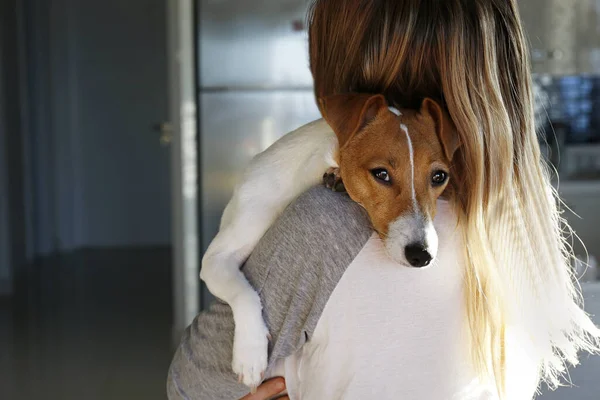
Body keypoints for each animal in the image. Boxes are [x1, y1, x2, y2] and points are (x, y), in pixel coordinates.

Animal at [199, 92, 458, 390]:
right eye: (381, 174)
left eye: (439, 177)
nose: (422, 256)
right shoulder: (216, 258)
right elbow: (243, 292)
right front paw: (249, 354)